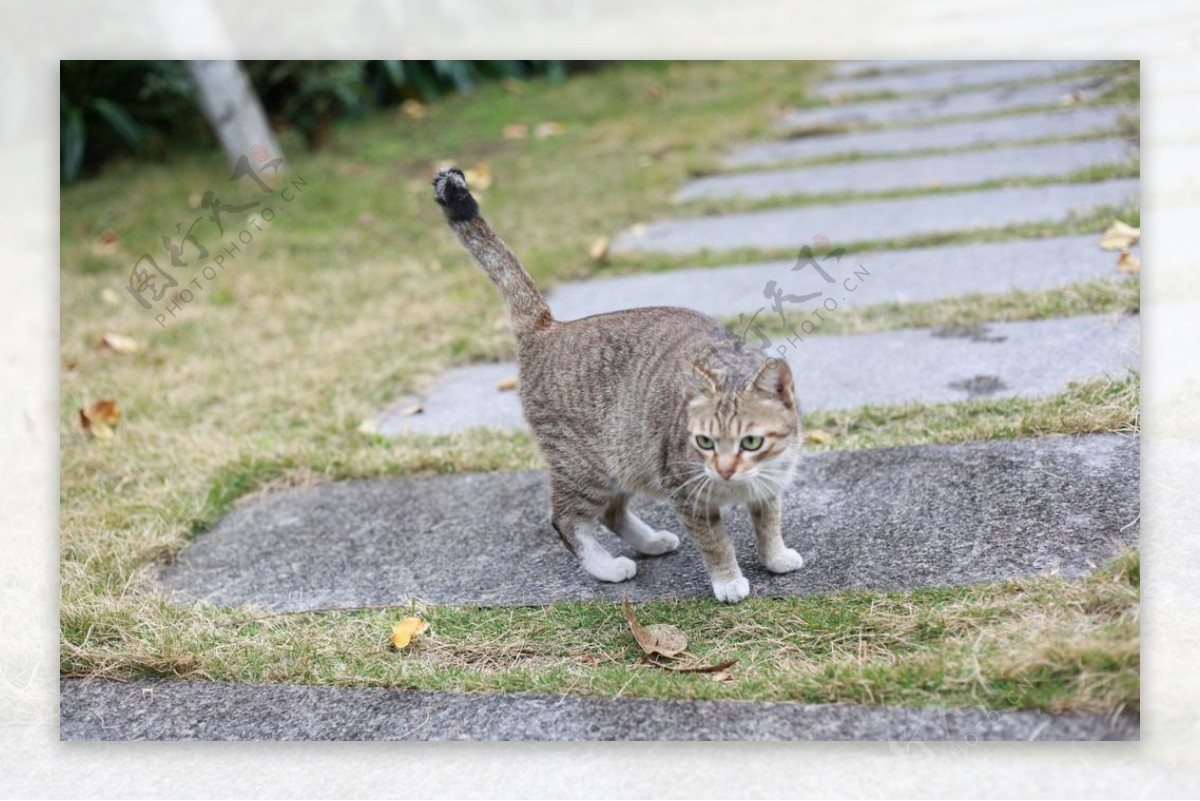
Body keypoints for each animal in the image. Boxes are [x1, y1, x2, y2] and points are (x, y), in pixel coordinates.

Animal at [432, 167, 806, 599]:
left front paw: (775, 556)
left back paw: (651, 542)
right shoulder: (688, 496)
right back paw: (606, 567)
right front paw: (728, 581)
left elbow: (769, 522)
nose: (725, 470)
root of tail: (547, 327)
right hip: (587, 466)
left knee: (611, 512)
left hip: (621, 461)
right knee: (566, 518)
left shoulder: (769, 485)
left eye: (751, 442)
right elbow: (716, 543)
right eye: (704, 442)